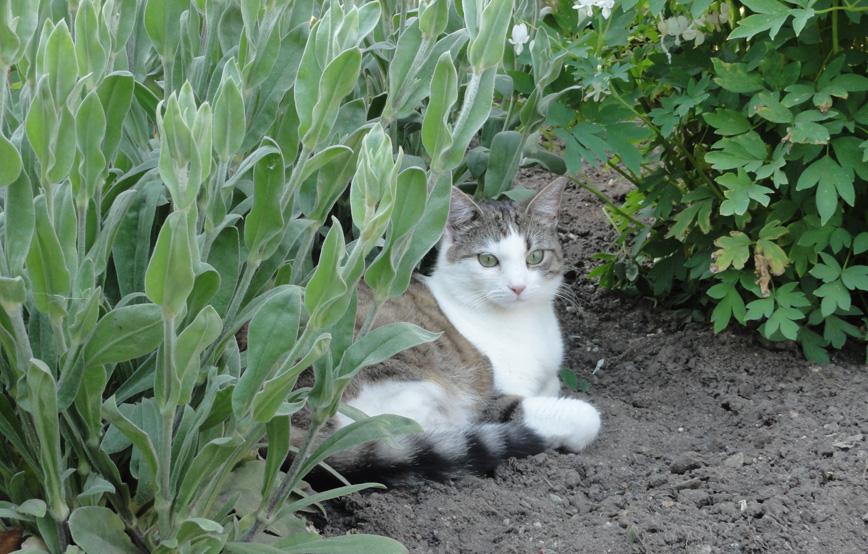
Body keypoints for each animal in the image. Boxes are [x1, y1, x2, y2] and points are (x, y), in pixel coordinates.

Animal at [294, 178, 600, 484]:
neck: (525, 320)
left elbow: (553, 383)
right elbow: (586, 418)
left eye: (535, 256)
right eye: (488, 260)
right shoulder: (490, 402)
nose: (518, 287)